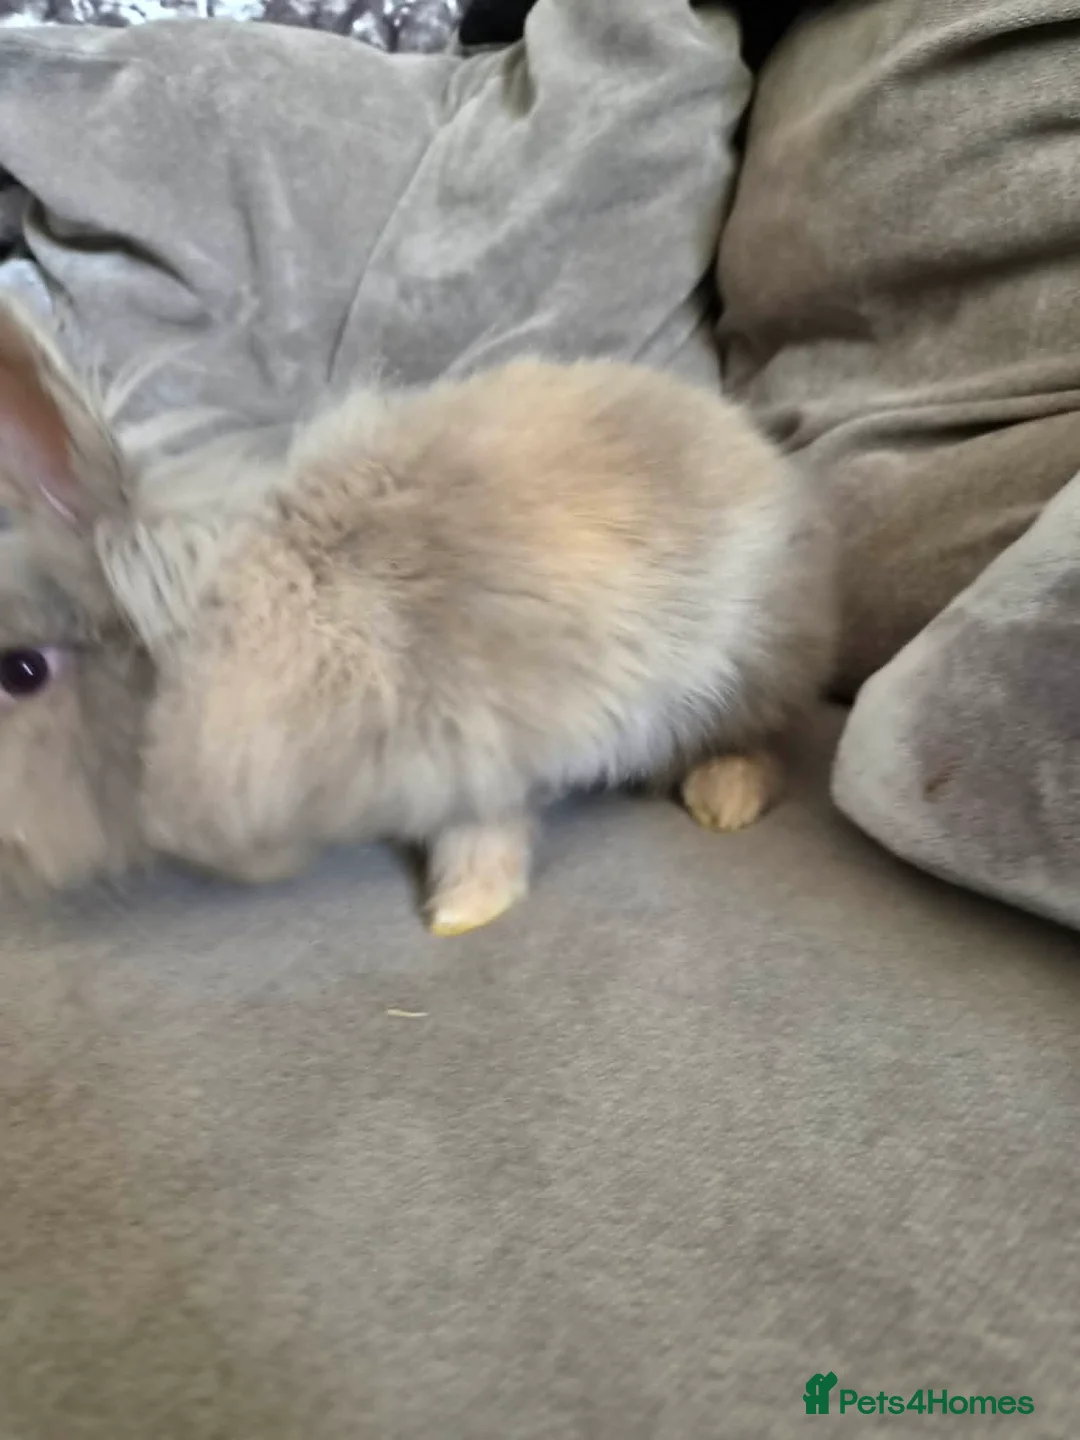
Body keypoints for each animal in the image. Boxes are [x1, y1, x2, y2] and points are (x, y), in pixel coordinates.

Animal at [0, 295, 835, 932]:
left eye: (21, 672)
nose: (13, 862)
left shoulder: (473, 748)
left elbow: (483, 834)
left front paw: (462, 913)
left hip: (741, 670)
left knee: (768, 739)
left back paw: (723, 797)